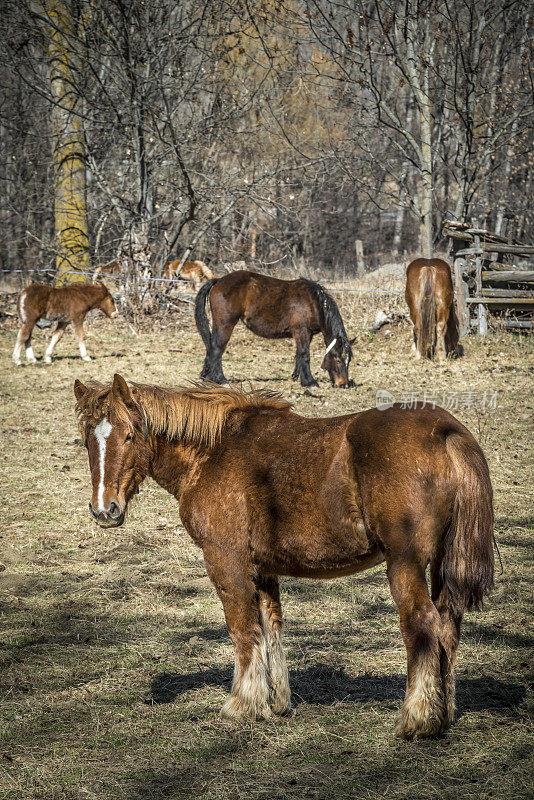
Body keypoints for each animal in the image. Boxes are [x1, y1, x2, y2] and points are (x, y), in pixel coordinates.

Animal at [73, 376, 496, 736]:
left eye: (129, 435)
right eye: (86, 441)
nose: (104, 509)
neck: (213, 452)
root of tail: (447, 431)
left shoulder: (226, 560)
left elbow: (242, 630)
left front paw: (240, 705)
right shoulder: (262, 569)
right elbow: (269, 629)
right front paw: (274, 701)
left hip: (404, 562)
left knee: (422, 625)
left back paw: (416, 720)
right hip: (441, 563)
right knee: (447, 627)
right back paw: (443, 712)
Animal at [195, 270, 354, 390]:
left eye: (349, 360)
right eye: (338, 360)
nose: (344, 385)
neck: (314, 302)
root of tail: (219, 280)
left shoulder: (306, 335)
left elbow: (299, 355)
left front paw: (297, 377)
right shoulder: (302, 331)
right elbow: (305, 355)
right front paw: (310, 382)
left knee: (212, 347)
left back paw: (206, 376)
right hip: (225, 324)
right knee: (217, 349)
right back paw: (220, 379)